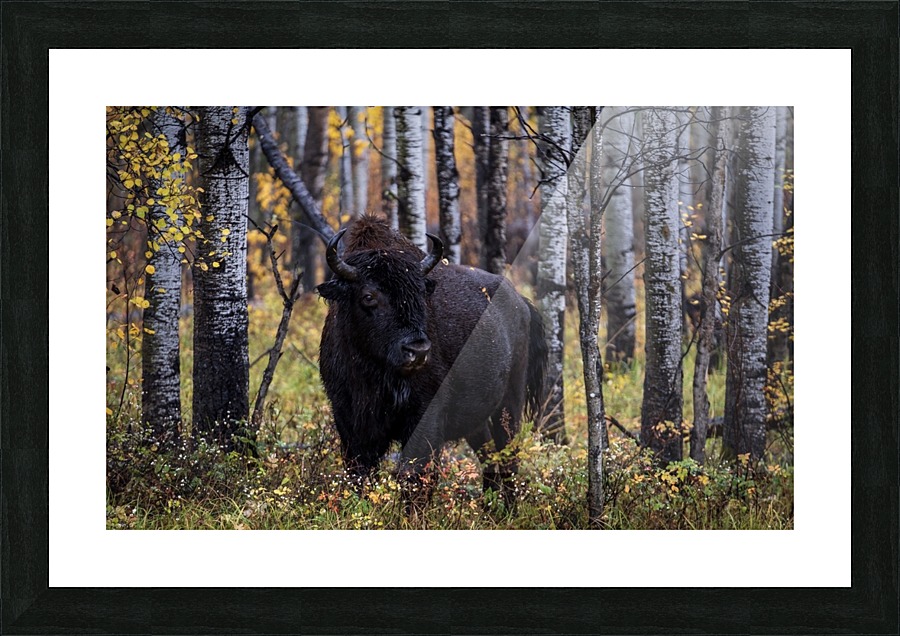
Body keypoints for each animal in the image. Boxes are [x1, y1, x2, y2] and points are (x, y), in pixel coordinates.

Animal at [317, 215, 547, 507]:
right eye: (368, 296)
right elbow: (359, 475)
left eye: (420, 293)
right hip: (478, 419)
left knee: (508, 457)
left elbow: (416, 477)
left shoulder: (424, 418)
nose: (417, 350)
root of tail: (522, 303)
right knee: (489, 458)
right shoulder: (349, 421)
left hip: (509, 404)